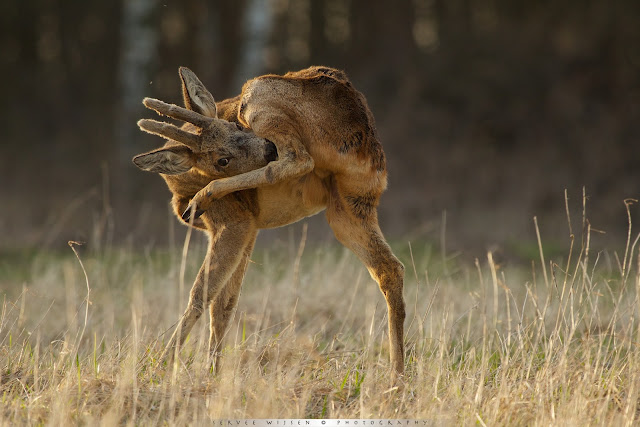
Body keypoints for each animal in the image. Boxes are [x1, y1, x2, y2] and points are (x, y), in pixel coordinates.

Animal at [134, 66, 404, 378]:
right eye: (221, 160)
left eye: (238, 129)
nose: (267, 149)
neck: (179, 186)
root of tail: (364, 137)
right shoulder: (249, 229)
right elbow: (225, 304)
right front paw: (212, 370)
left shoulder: (236, 222)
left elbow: (202, 295)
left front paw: (162, 364)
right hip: (349, 207)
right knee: (390, 269)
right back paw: (398, 372)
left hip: (256, 92)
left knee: (297, 159)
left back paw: (206, 195)